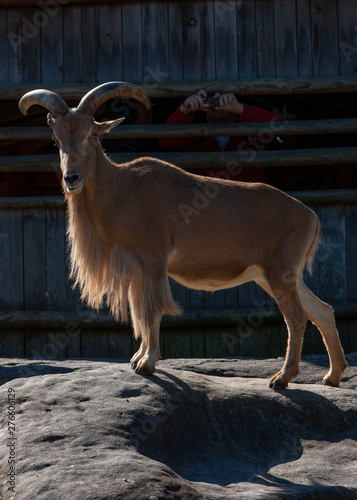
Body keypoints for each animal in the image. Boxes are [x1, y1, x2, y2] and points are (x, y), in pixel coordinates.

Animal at [18, 82, 344, 388]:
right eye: (57, 140)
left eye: (92, 136)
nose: (71, 178)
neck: (122, 189)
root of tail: (310, 216)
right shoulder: (138, 271)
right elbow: (140, 311)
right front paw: (137, 358)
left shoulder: (153, 261)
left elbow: (153, 310)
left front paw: (147, 363)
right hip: (278, 276)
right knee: (323, 311)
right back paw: (332, 376)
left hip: (279, 272)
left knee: (297, 318)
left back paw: (282, 378)